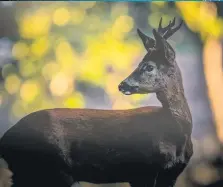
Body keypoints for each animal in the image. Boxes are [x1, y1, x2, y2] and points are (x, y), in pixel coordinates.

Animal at [0, 16, 193, 186]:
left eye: (149, 66)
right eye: (140, 64)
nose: (122, 85)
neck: (178, 135)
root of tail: (5, 139)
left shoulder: (171, 173)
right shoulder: (143, 169)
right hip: (49, 168)